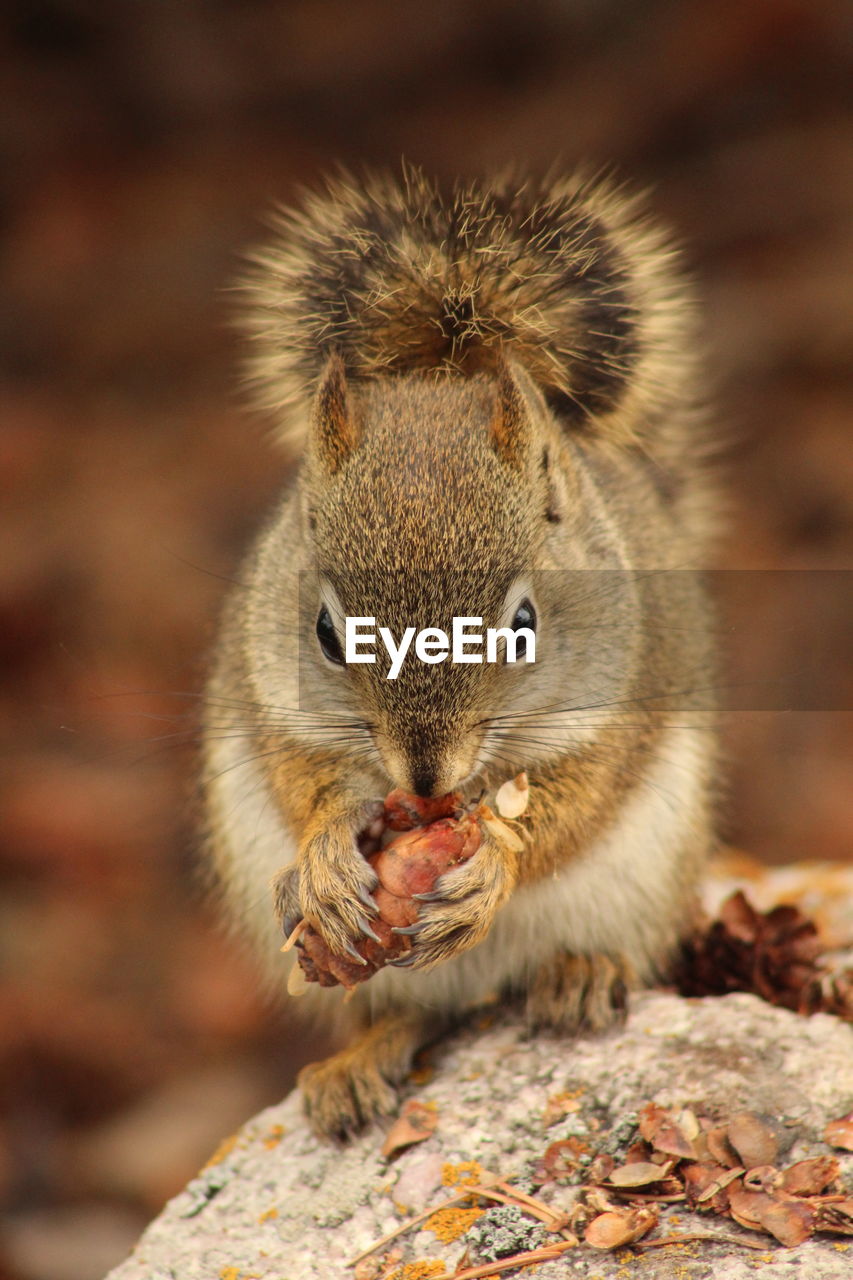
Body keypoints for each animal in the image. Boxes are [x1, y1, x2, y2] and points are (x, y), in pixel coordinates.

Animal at [199, 165, 717, 1136]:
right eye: (324, 632)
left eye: (524, 625)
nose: (426, 779)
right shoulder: (270, 698)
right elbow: (299, 779)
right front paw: (325, 851)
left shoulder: (617, 714)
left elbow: (568, 806)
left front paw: (496, 865)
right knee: (403, 1011)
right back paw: (359, 1062)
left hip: (645, 877)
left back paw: (578, 975)